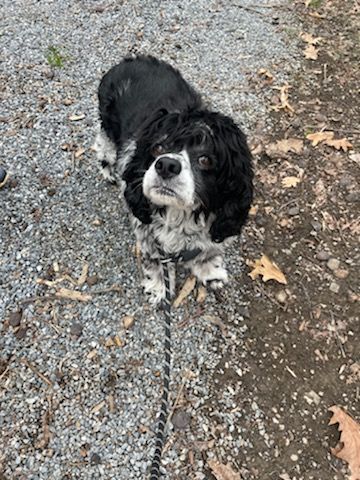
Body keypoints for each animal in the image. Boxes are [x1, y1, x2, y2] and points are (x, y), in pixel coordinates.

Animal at [95, 55, 253, 304]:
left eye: (205, 159)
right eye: (158, 147)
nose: (166, 165)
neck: (182, 215)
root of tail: (129, 60)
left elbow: (208, 249)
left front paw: (210, 270)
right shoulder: (148, 230)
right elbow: (154, 258)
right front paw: (158, 287)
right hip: (108, 123)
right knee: (103, 142)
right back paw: (108, 168)